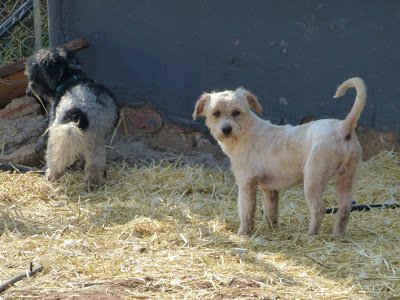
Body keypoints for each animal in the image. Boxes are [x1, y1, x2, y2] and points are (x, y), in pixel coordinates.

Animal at [24, 47, 118, 186]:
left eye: (34, 74)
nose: (29, 90)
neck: (71, 78)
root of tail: (80, 110)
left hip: (59, 135)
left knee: (55, 160)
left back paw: (51, 176)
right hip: (94, 141)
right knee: (95, 163)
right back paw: (92, 183)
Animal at [193, 78, 366, 237]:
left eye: (236, 112)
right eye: (216, 113)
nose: (226, 129)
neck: (246, 132)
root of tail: (343, 128)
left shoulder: (246, 183)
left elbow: (247, 212)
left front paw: (243, 234)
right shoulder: (269, 189)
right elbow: (271, 212)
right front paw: (273, 231)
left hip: (313, 180)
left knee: (319, 209)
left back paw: (310, 236)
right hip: (346, 179)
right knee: (344, 209)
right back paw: (337, 235)